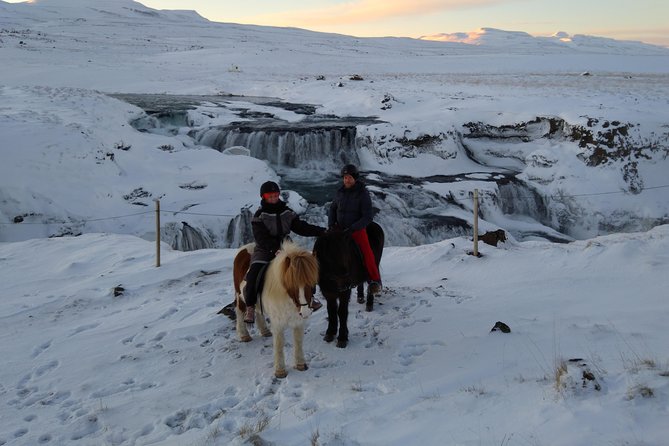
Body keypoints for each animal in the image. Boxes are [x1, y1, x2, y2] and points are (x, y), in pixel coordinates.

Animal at [234, 242, 320, 378]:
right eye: (292, 284)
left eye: (312, 284)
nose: (306, 312)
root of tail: (245, 247)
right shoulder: (278, 323)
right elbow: (279, 344)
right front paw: (280, 371)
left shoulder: (298, 320)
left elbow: (298, 341)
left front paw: (300, 364)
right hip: (239, 295)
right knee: (240, 311)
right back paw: (244, 335)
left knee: (258, 312)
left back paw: (265, 331)